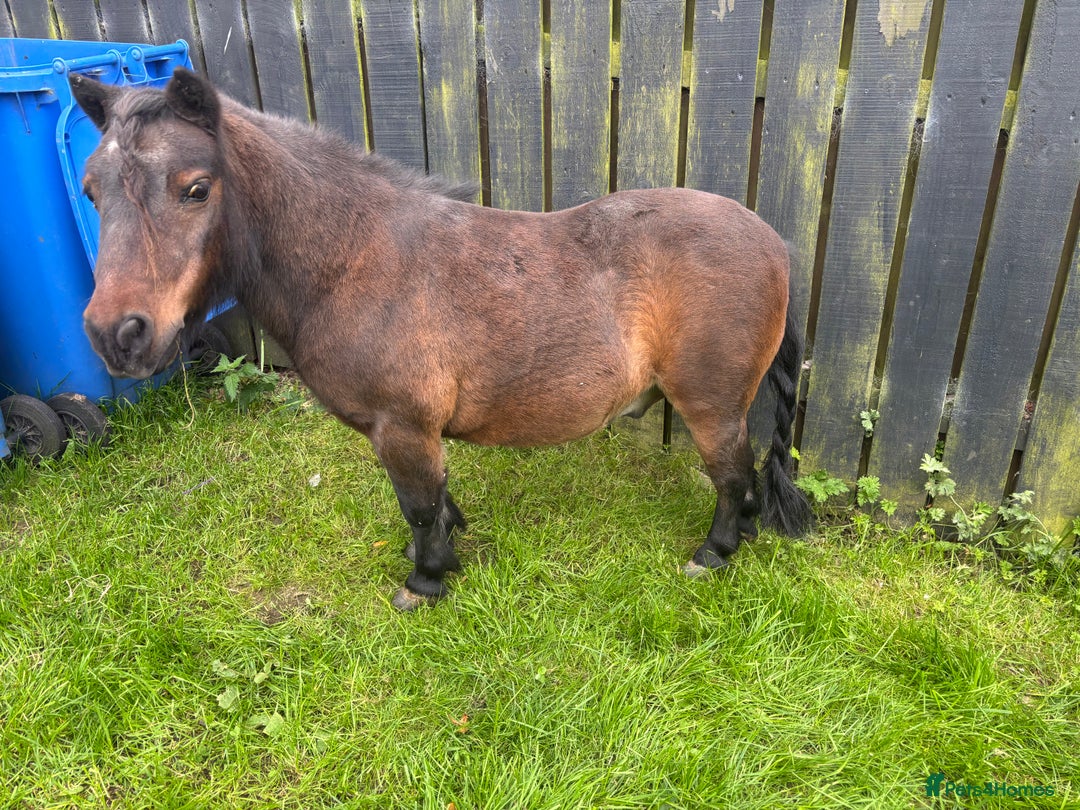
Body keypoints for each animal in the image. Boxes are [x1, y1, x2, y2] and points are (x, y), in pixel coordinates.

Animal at [69, 68, 812, 611]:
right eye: (91, 190)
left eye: (195, 188)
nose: (117, 334)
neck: (352, 258)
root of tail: (773, 244)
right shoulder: (412, 431)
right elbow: (435, 501)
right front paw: (444, 549)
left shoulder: (402, 426)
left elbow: (420, 508)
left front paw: (425, 580)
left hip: (710, 406)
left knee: (732, 473)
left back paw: (715, 551)